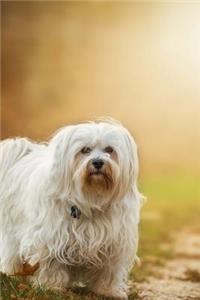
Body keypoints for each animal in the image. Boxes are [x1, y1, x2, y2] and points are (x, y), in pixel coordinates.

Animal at [0, 119, 142, 298]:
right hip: (12, 232)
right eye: (85, 150)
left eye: (109, 149)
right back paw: (13, 273)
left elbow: (108, 271)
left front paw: (108, 291)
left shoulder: (114, 243)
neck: (92, 197)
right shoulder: (52, 238)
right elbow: (52, 265)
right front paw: (51, 286)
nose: (98, 162)